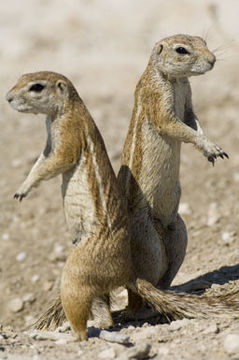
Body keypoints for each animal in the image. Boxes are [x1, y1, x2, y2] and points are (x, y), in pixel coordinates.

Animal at [7, 67, 237, 340]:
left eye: (36, 87)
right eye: (21, 78)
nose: (8, 98)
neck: (66, 109)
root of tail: (128, 272)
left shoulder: (69, 135)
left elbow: (55, 162)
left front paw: (26, 188)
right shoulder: (48, 144)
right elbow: (39, 162)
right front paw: (22, 186)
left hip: (76, 273)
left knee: (83, 332)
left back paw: (56, 336)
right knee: (105, 316)